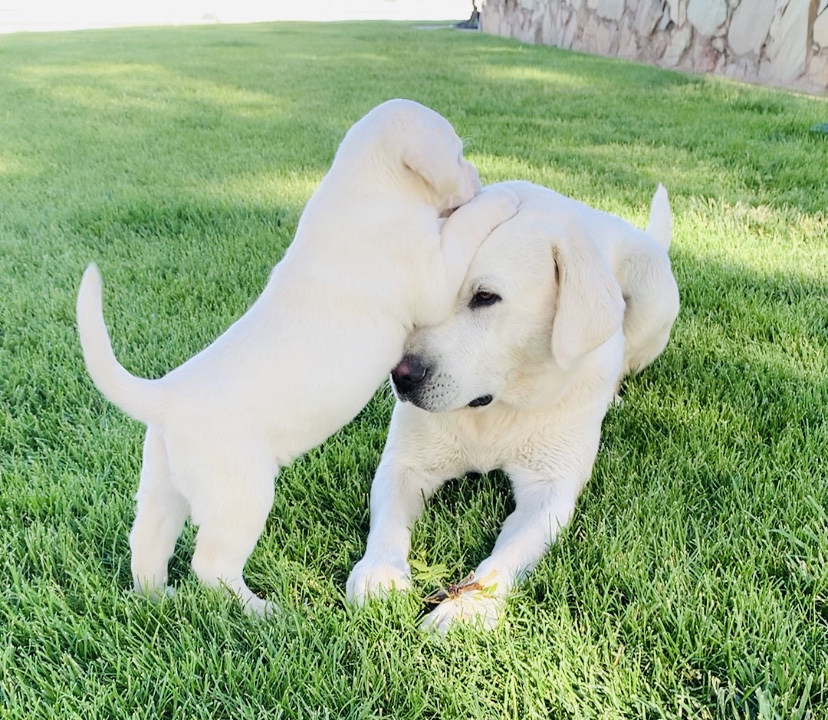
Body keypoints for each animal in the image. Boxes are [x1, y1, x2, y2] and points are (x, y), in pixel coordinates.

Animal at [77, 97, 516, 612]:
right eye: (459, 153)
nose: (477, 174)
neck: (363, 187)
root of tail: (166, 397)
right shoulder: (433, 275)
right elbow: (463, 228)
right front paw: (500, 200)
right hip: (241, 496)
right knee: (211, 567)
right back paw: (261, 611)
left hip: (162, 487)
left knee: (147, 541)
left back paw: (156, 596)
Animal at [346, 180, 676, 632]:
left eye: (486, 297)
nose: (400, 375)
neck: (495, 408)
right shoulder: (404, 463)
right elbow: (388, 520)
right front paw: (380, 571)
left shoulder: (550, 493)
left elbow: (508, 556)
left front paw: (468, 606)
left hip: (653, 294)